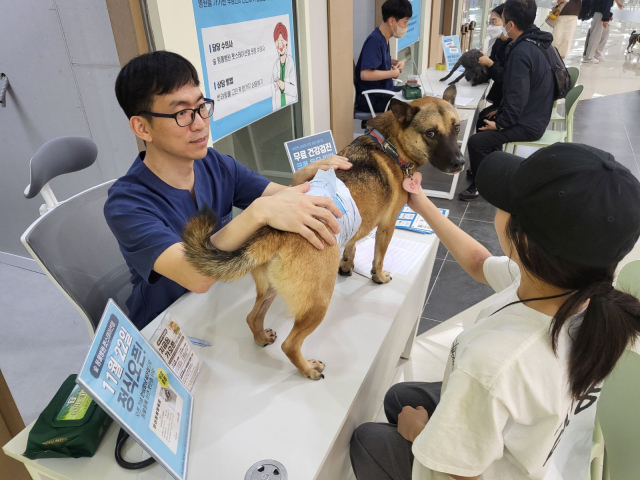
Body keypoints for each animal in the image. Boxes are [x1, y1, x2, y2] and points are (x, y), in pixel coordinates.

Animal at [182, 85, 462, 378]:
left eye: (457, 128)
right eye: (430, 133)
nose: (460, 163)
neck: (390, 144)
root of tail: (274, 232)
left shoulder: (358, 226)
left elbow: (352, 243)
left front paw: (347, 265)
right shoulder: (387, 226)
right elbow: (378, 257)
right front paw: (379, 276)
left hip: (270, 289)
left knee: (252, 316)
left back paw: (261, 338)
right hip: (318, 303)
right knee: (290, 344)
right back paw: (308, 369)